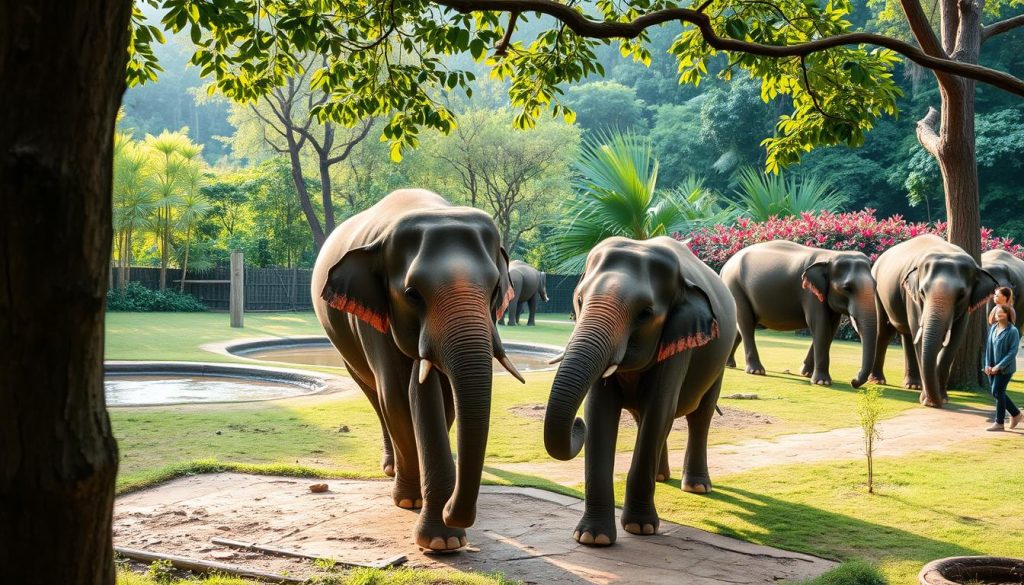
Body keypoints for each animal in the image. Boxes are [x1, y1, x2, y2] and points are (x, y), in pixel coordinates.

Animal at [311, 188, 524, 552]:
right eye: (412, 294)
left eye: (496, 289)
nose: (454, 511)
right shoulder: (374, 317)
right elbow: (400, 395)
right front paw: (425, 520)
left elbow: (442, 398)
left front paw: (443, 534)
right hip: (344, 346)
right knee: (375, 395)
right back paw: (391, 469)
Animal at [543, 236, 737, 546]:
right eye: (580, 300)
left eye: (645, 314)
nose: (576, 425)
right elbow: (599, 412)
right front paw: (592, 537)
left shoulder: (680, 343)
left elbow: (659, 409)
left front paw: (640, 527)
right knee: (646, 417)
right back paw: (661, 477)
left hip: (718, 363)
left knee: (699, 416)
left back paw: (696, 486)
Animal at [721, 241, 878, 387]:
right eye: (847, 288)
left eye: (875, 285)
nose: (853, 381)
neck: (830, 256)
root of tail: (724, 267)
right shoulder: (809, 293)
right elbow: (820, 326)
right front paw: (822, 382)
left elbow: (831, 329)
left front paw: (806, 373)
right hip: (735, 287)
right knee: (746, 323)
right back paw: (756, 371)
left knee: (738, 326)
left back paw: (729, 364)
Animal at [870, 234, 998, 407]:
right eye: (922, 292)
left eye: (961, 295)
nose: (933, 400)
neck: (946, 251)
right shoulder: (913, 298)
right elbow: (921, 338)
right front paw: (929, 401)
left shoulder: (965, 309)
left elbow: (954, 340)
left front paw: (941, 398)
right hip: (878, 292)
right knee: (884, 332)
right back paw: (877, 381)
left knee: (908, 336)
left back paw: (913, 385)